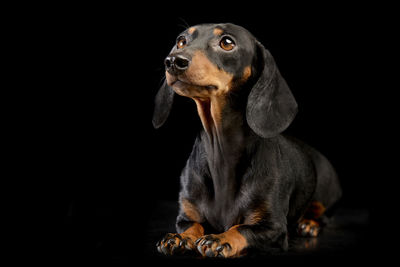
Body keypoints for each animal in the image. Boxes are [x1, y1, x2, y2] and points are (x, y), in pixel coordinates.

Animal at [152, 23, 340, 260]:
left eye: (227, 42)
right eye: (181, 41)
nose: (173, 61)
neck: (221, 156)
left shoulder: (273, 228)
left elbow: (241, 229)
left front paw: (220, 240)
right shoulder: (186, 216)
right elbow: (192, 226)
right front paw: (179, 238)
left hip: (325, 196)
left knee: (324, 216)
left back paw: (309, 224)